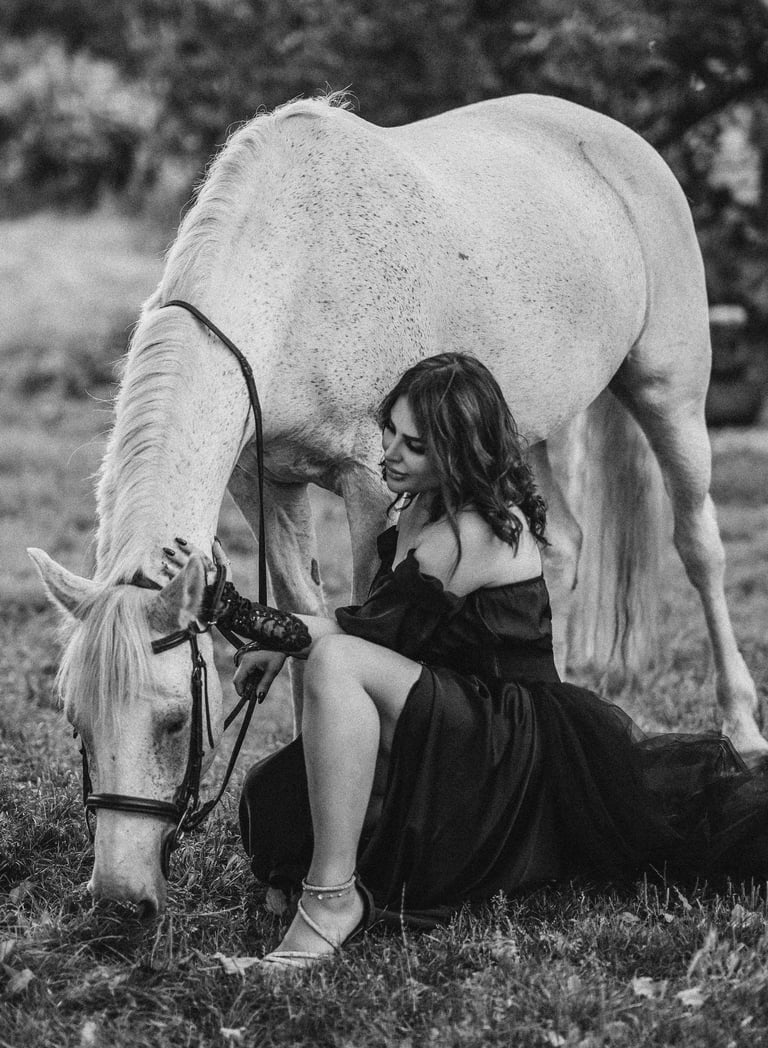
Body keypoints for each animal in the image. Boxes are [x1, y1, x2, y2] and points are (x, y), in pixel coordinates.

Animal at [28, 92, 766, 918]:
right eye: (76, 722)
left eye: (174, 720)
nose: (117, 898)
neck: (295, 272)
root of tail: (619, 139)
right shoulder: (267, 486)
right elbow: (301, 614)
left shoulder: (372, 488)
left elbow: (363, 619)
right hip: (526, 430)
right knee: (563, 545)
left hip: (671, 393)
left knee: (700, 548)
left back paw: (742, 728)